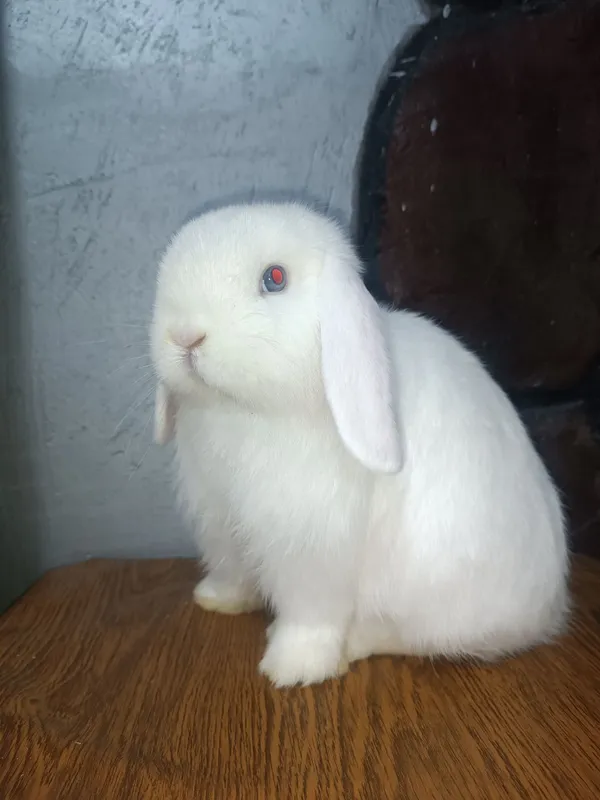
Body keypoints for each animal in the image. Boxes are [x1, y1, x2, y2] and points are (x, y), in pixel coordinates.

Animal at [150, 201, 569, 688]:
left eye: (275, 278)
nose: (185, 336)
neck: (241, 413)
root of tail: (549, 611)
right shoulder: (221, 523)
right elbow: (233, 572)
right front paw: (216, 599)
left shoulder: (312, 550)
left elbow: (310, 617)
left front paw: (291, 669)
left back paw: (352, 645)